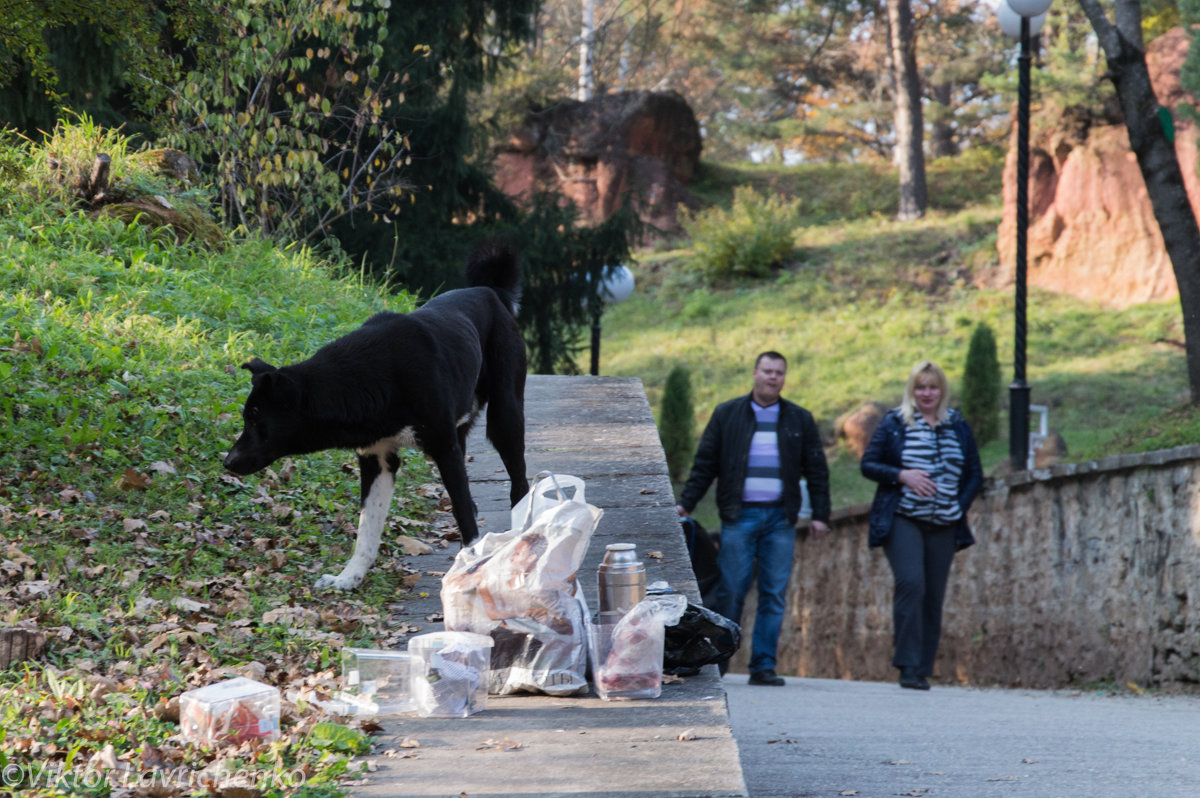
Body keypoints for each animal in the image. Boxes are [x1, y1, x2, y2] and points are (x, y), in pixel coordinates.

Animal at [223, 246, 528, 588]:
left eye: (254, 419)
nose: (228, 462)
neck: (369, 380)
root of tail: (490, 291)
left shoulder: (444, 449)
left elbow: (462, 511)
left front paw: (472, 569)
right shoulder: (377, 458)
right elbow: (367, 528)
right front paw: (348, 577)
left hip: (505, 417)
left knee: (518, 483)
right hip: (462, 426)